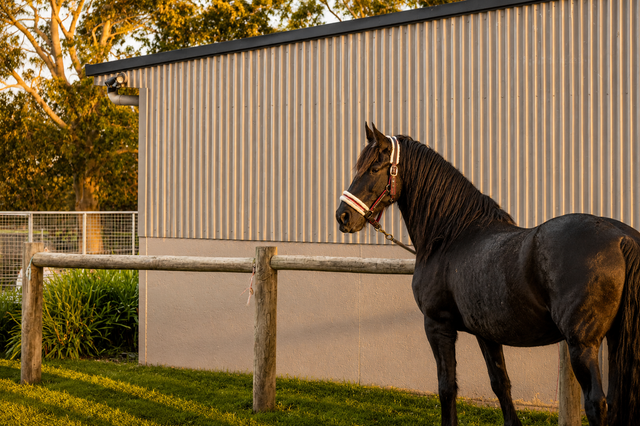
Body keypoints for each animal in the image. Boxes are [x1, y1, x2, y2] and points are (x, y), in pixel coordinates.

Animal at [335, 123, 640, 426]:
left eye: (375, 167)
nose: (343, 216)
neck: (452, 235)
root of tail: (622, 238)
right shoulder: (486, 333)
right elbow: (500, 384)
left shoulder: (437, 325)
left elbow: (447, 387)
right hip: (615, 340)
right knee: (615, 401)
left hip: (582, 345)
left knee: (597, 404)